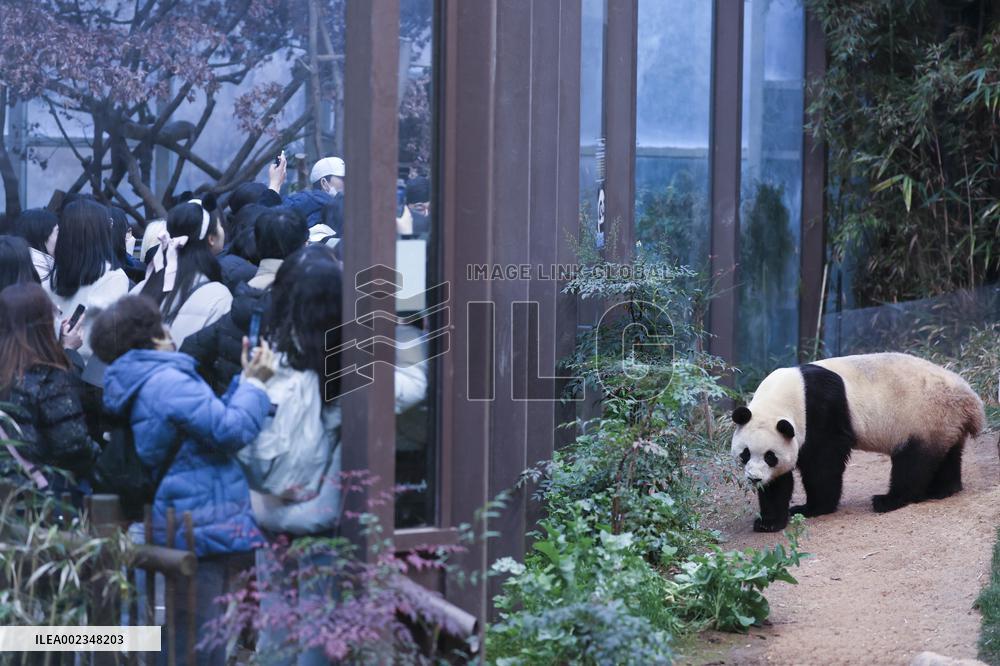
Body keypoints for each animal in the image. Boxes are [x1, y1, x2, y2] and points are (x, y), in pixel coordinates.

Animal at [731, 353, 986, 533]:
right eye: (745, 454)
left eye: (770, 456)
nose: (754, 478)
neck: (788, 395)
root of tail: (970, 400)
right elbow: (779, 482)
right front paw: (769, 522)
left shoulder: (820, 412)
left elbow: (823, 462)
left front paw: (813, 508)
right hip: (943, 423)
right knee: (947, 455)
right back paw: (943, 489)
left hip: (923, 417)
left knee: (913, 462)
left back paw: (889, 500)